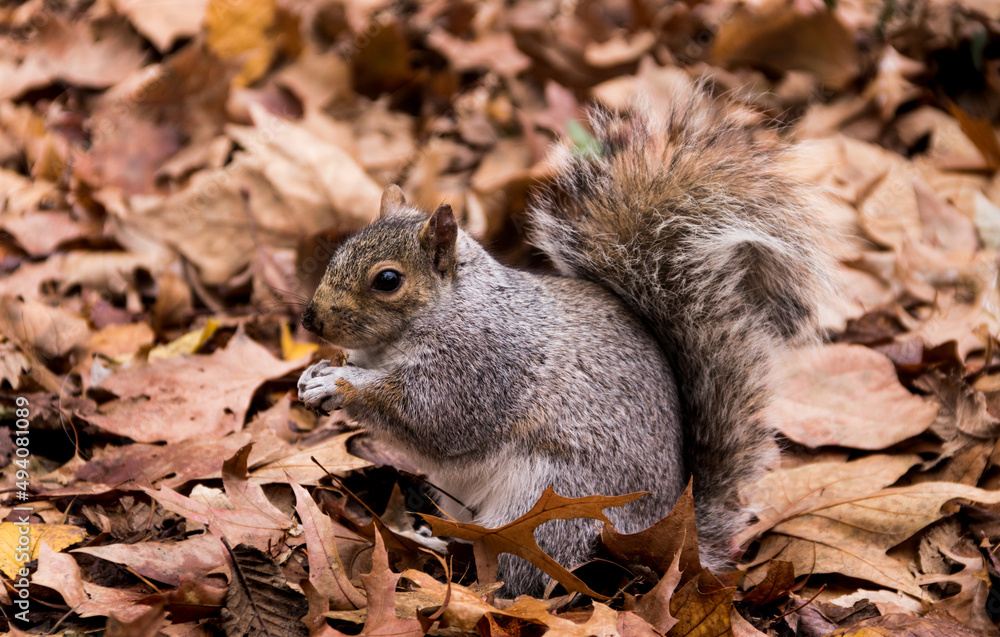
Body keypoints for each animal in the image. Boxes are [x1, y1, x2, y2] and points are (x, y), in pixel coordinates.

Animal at [297, 78, 833, 596]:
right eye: (340, 250)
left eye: (388, 280)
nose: (311, 320)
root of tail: (672, 541)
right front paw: (316, 373)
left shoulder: (484, 364)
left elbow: (432, 414)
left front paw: (340, 384)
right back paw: (428, 537)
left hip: (550, 506)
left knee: (520, 578)